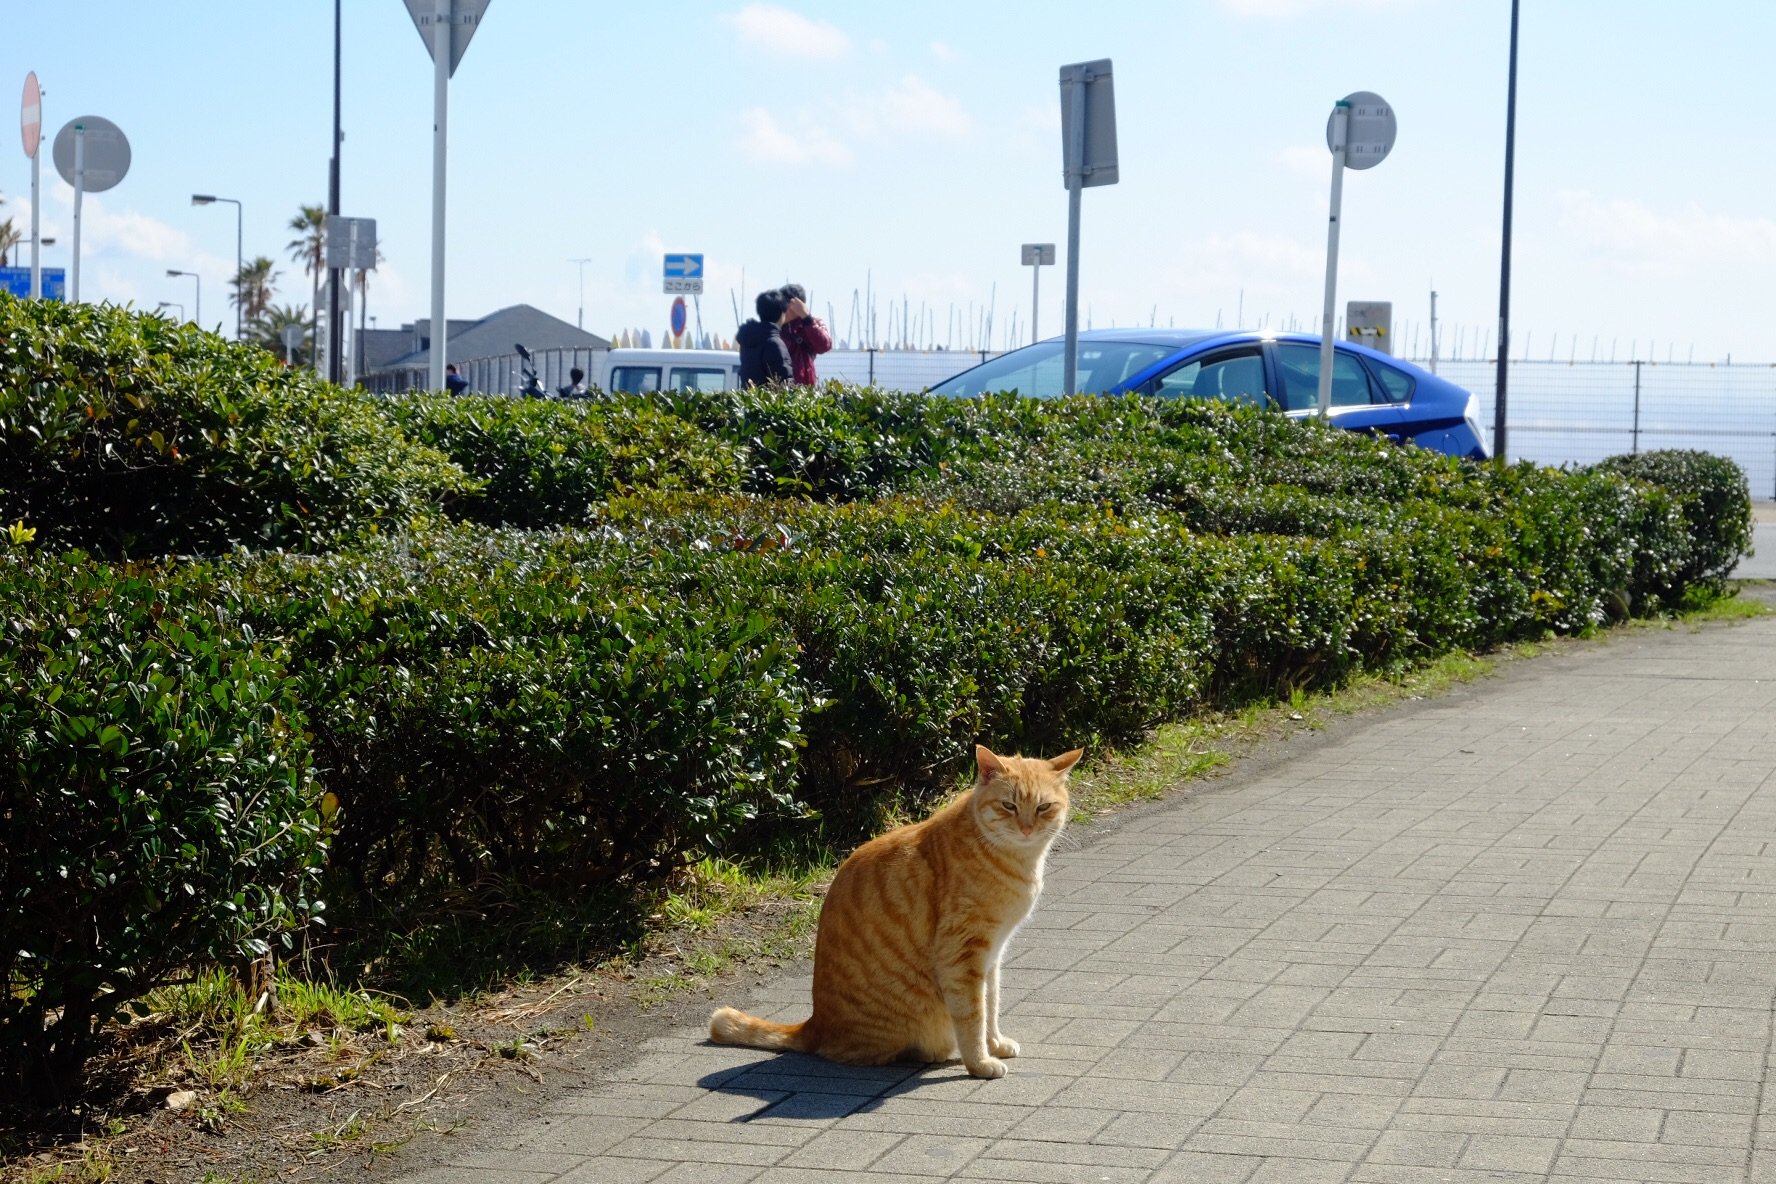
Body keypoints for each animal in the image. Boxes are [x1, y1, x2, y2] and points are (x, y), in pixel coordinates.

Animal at [709, 743, 1083, 1079]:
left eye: (1044, 807)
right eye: (1009, 806)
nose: (1026, 829)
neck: (1014, 860)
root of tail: (815, 1024)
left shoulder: (993, 954)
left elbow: (990, 1004)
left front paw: (995, 1043)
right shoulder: (963, 956)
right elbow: (972, 1015)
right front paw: (979, 1062)